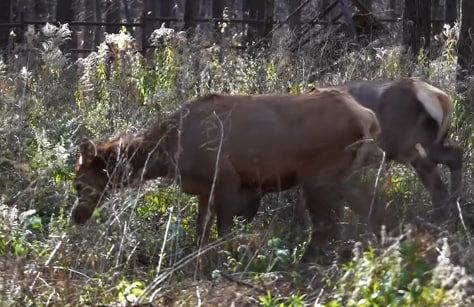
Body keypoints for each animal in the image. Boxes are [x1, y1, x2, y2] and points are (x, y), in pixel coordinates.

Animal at [73, 90, 386, 262]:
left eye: (78, 183)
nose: (76, 216)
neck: (168, 153)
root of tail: (369, 118)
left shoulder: (226, 178)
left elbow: (223, 231)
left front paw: (223, 260)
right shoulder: (204, 188)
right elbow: (201, 229)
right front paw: (197, 259)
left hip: (319, 174)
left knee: (326, 223)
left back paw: (307, 260)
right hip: (347, 174)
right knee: (373, 210)